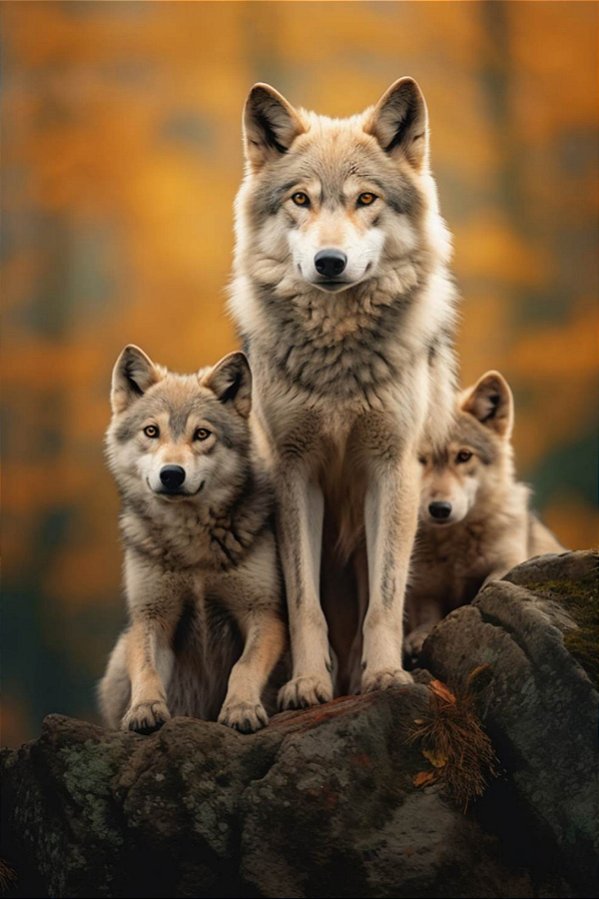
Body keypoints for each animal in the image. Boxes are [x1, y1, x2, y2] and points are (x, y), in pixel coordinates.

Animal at [98, 346, 286, 734]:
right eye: (151, 431)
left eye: (202, 434)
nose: (171, 474)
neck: (192, 549)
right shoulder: (151, 617)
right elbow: (147, 669)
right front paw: (145, 709)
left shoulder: (263, 613)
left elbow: (243, 666)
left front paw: (241, 709)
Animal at [229, 77, 458, 704]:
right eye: (300, 200)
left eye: (365, 199)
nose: (329, 262)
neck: (337, 355)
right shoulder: (294, 471)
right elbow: (304, 603)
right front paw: (308, 683)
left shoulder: (392, 468)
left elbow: (384, 598)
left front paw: (383, 676)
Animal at [405, 370, 565, 657]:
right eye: (420, 460)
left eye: (464, 456)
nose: (440, 509)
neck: (455, 546)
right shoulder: (423, 590)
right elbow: (427, 615)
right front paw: (419, 638)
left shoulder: (507, 562)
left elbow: (489, 586)